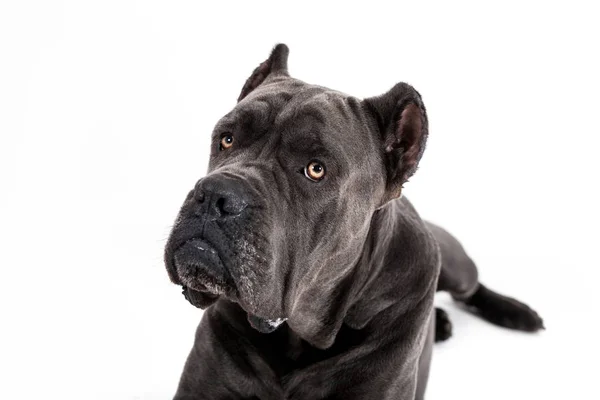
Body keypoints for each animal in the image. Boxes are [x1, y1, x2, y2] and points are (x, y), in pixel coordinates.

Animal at [164, 43, 544, 400]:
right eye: (226, 139)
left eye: (315, 169)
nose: (215, 194)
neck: (297, 336)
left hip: (456, 265)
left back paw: (516, 312)